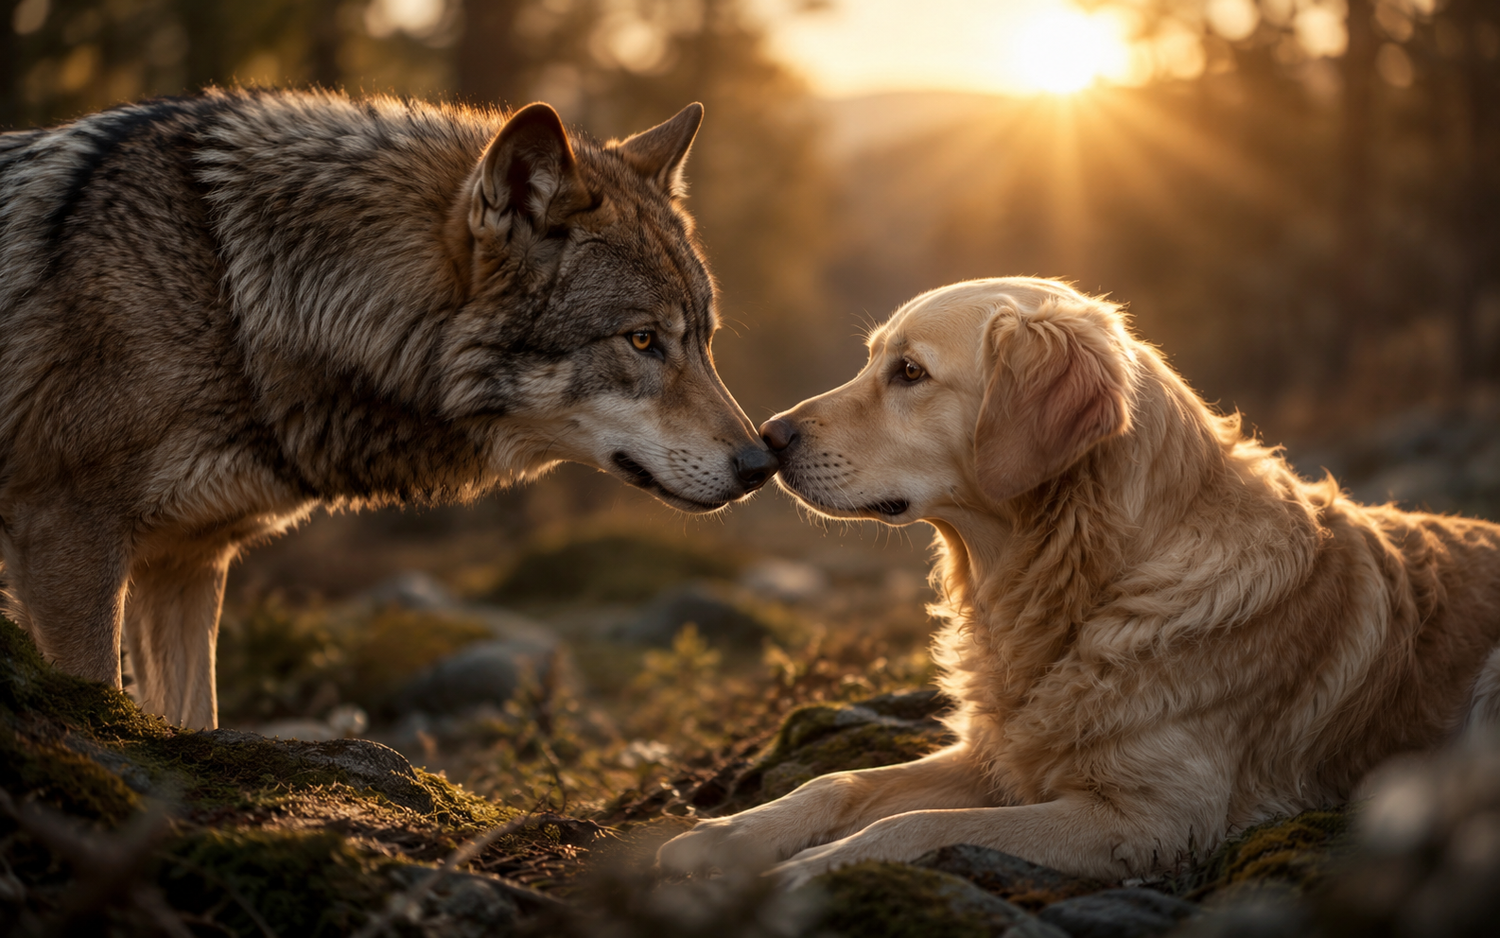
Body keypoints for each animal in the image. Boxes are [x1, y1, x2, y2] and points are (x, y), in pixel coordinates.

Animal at [0, 89, 777, 729]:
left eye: (703, 340)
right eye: (642, 339)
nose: (761, 462)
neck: (234, 288)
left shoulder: (186, 563)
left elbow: (196, 722)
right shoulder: (68, 537)